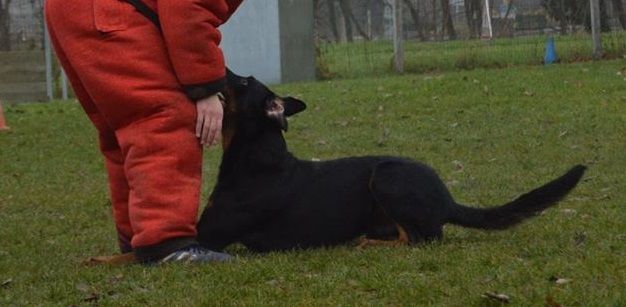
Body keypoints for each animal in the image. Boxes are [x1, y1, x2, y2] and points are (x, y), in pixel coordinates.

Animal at [196, 72, 584, 253]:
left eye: (243, 81)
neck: (256, 157)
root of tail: (447, 200)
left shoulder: (207, 234)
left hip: (386, 176)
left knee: (421, 239)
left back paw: (367, 244)